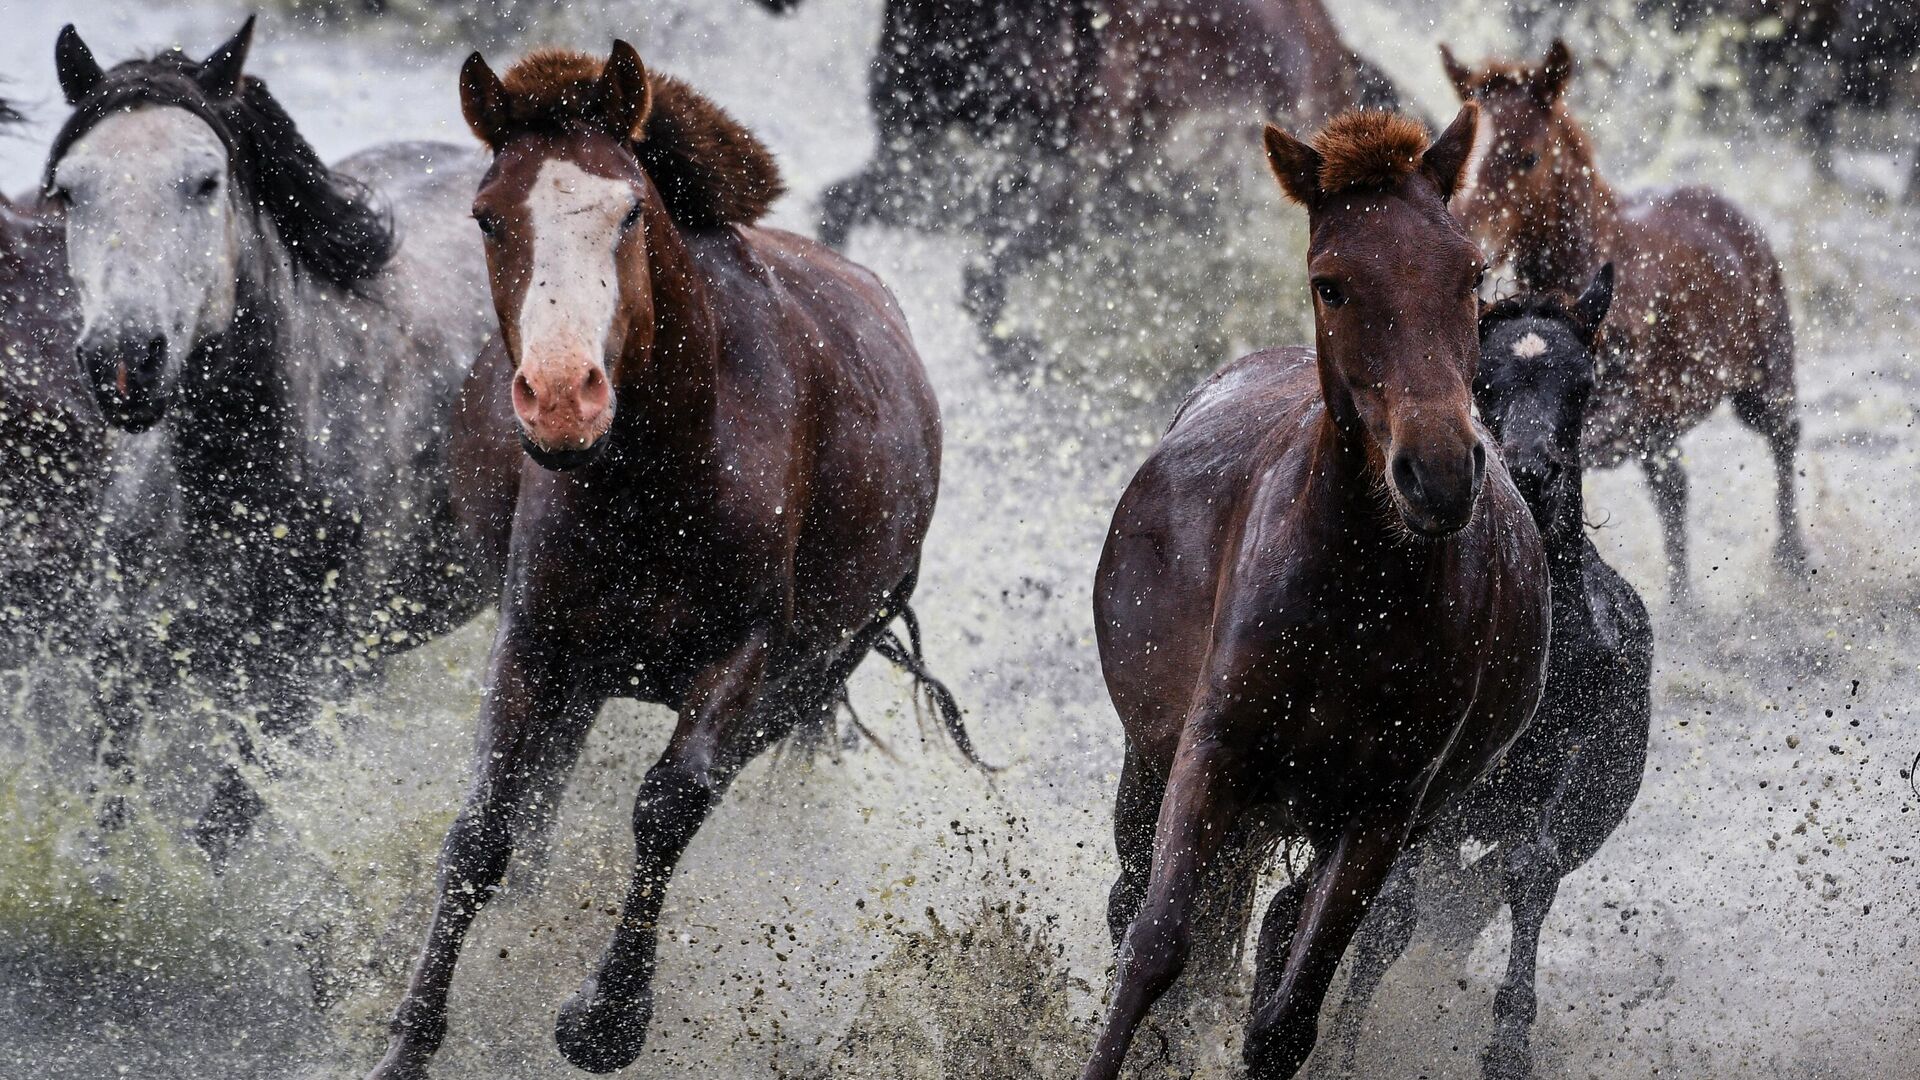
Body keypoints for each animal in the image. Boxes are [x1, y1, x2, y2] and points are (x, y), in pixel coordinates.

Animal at [51, 16, 503, 853]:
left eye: (204, 181)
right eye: (69, 189)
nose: (123, 359)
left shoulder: (291, 697)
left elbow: (214, 835)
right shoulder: (121, 669)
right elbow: (104, 825)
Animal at [370, 42, 975, 1076]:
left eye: (628, 212)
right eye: (489, 216)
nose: (562, 396)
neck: (662, 478)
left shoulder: (745, 652)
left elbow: (668, 804)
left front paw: (605, 1019)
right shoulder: (533, 635)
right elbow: (486, 825)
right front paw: (410, 1039)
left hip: (801, 682)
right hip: (587, 668)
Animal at [1090, 102, 1551, 1076]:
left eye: (1469, 274)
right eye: (1332, 285)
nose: (1439, 473)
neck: (1355, 600)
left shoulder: (1383, 811)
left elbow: (1288, 1014)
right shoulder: (1212, 750)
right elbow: (1155, 944)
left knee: (1277, 928)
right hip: (1148, 762)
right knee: (1132, 902)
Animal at [1328, 261, 1658, 1076]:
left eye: (1583, 384)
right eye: (1483, 380)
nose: (1532, 471)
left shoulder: (1577, 768)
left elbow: (1529, 871)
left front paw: (1509, 1042)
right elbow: (1389, 915)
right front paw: (1341, 1046)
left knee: (1474, 898)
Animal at [1443, 35, 1804, 595]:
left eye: (1526, 157)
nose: (1468, 254)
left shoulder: (1632, 429)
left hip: (1761, 386)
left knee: (1781, 443)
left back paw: (1788, 559)